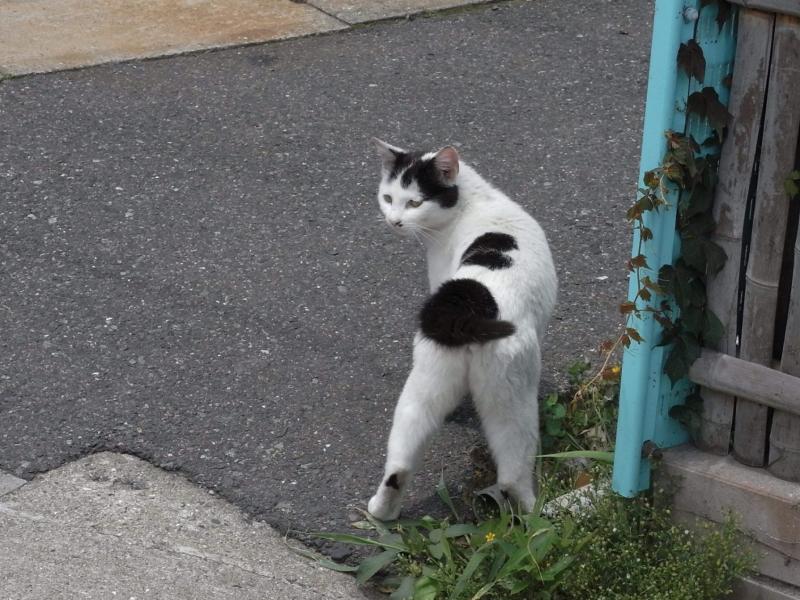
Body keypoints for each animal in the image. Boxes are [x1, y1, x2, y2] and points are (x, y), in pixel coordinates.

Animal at [368, 137, 556, 520]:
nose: (394, 221)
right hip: (513, 397)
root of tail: (468, 311)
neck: (474, 201)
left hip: (424, 386)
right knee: (513, 471)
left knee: (399, 463)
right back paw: (536, 515)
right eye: (388, 197)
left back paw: (382, 511)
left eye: (414, 202)